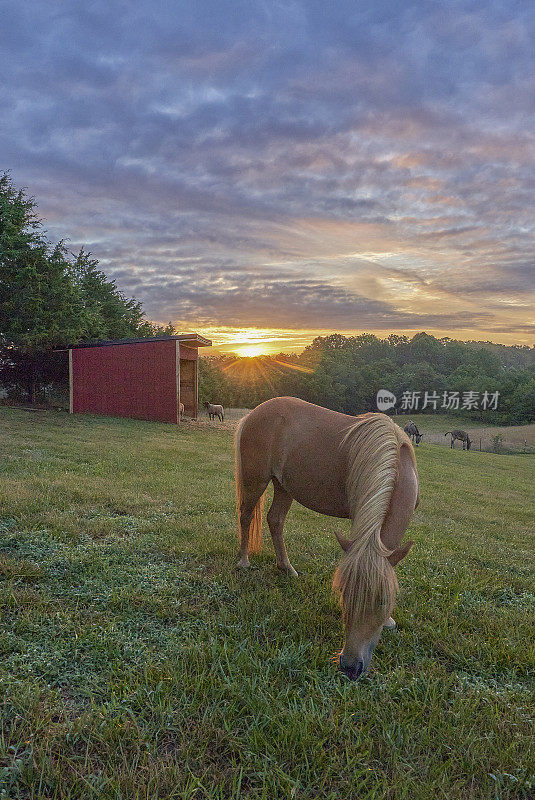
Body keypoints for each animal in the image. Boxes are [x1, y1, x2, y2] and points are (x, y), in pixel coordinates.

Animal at [237, 396, 420, 680]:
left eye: (382, 602)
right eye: (343, 593)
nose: (350, 667)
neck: (396, 466)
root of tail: (254, 413)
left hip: (284, 486)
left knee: (275, 521)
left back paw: (286, 568)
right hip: (255, 480)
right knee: (246, 516)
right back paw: (244, 561)